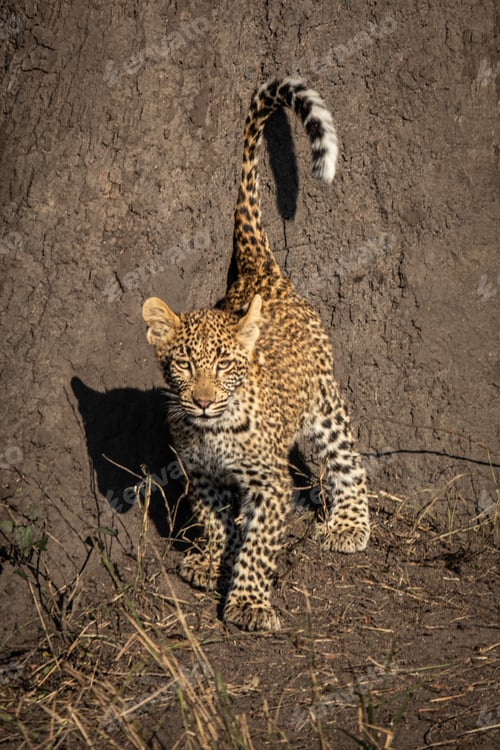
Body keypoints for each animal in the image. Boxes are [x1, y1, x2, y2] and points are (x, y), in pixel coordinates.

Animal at [142, 77, 370, 632]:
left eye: (225, 365)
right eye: (184, 365)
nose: (203, 401)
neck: (213, 431)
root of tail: (258, 269)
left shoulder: (270, 484)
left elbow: (259, 546)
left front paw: (246, 602)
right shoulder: (202, 475)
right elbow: (214, 521)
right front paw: (210, 561)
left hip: (323, 401)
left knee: (347, 457)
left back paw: (350, 524)